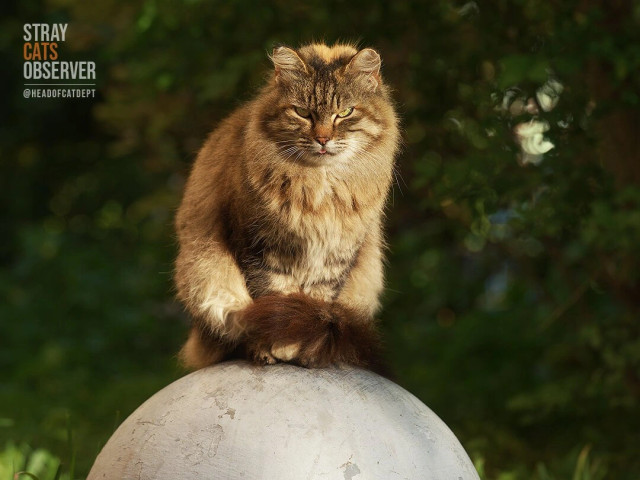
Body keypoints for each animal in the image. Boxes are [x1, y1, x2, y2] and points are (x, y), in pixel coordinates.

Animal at [172, 42, 398, 372]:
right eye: (302, 112)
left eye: (345, 112)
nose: (323, 139)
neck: (320, 188)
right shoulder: (260, 249)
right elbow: (276, 300)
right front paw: (279, 347)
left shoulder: (336, 260)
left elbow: (314, 306)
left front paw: (305, 349)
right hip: (205, 276)